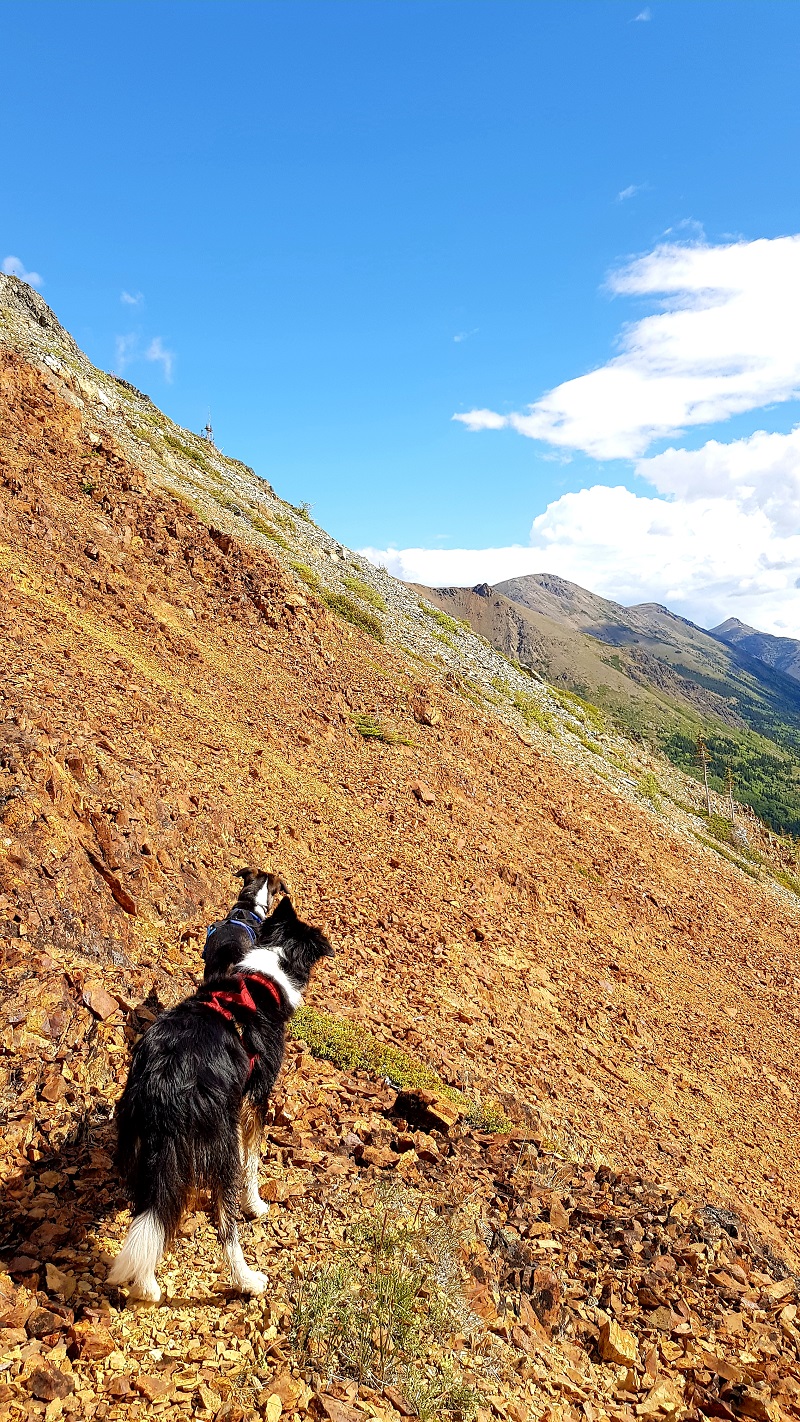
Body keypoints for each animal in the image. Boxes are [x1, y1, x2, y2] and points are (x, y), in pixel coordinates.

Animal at [107, 894, 333, 1302]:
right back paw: (248, 1280)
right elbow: (253, 1162)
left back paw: (146, 1287)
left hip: (140, 1141)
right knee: (226, 1229)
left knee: (152, 1212)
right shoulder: (255, 1098)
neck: (266, 976)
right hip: (220, 1143)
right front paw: (256, 1204)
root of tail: (166, 1083)